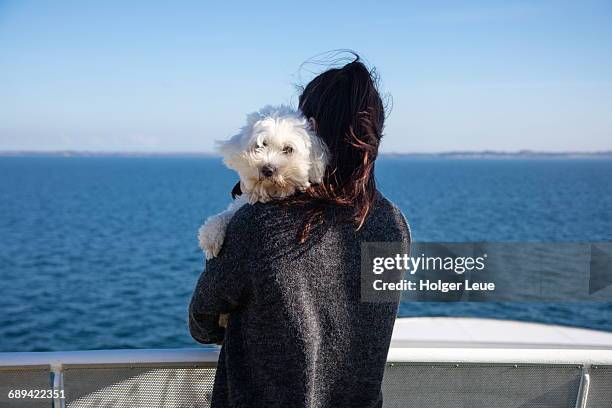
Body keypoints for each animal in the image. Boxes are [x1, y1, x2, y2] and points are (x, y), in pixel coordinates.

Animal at [198, 105, 328, 258]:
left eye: (288, 149)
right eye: (261, 145)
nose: (267, 169)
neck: (269, 191)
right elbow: (226, 213)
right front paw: (210, 235)